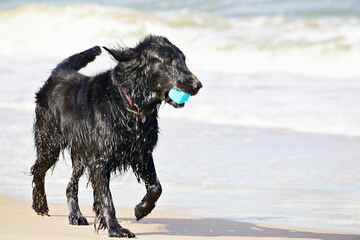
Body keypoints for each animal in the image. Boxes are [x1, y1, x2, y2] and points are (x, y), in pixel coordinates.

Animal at [29, 34, 201, 237]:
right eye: (169, 61)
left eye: (184, 59)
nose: (198, 85)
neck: (130, 105)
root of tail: (57, 74)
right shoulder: (100, 161)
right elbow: (106, 198)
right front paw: (116, 228)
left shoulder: (142, 154)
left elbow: (156, 187)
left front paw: (141, 209)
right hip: (50, 142)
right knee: (38, 170)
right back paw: (40, 204)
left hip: (80, 155)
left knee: (70, 185)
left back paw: (76, 216)